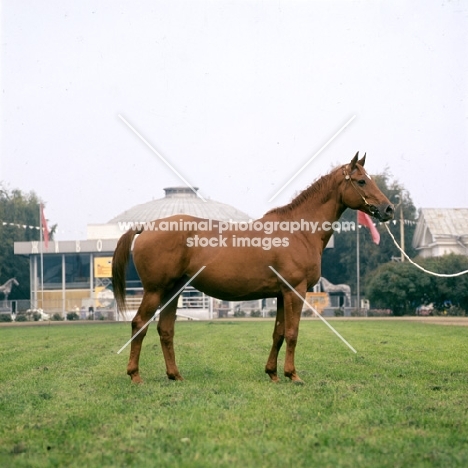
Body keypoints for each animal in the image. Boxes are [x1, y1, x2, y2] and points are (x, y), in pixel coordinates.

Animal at [111, 154, 394, 384]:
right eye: (361, 181)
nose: (388, 209)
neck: (298, 232)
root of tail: (146, 227)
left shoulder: (280, 295)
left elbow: (278, 333)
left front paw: (273, 373)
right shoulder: (295, 291)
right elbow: (292, 333)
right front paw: (293, 375)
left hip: (173, 291)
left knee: (165, 329)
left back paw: (175, 375)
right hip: (155, 291)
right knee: (139, 324)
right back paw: (135, 375)